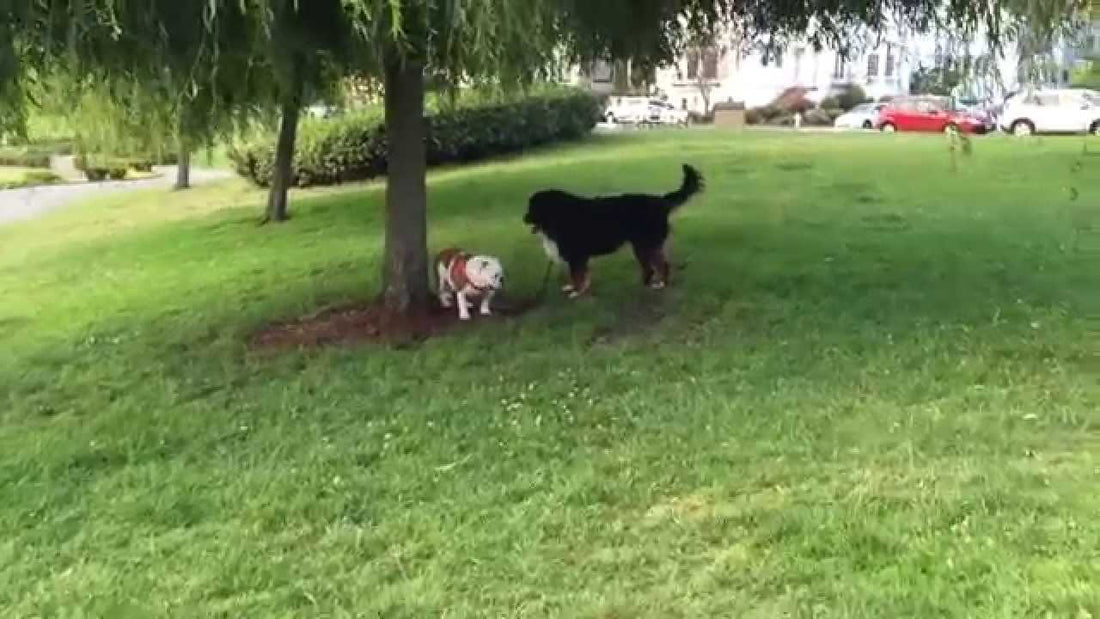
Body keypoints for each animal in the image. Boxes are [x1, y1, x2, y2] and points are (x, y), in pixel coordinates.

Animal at [525, 163, 704, 296]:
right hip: (641, 245)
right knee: (650, 267)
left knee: (661, 265)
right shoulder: (580, 256)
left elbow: (577, 275)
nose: (523, 219)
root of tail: (660, 200)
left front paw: (576, 291)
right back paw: (645, 283)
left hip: (646, 243)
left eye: (532, 207)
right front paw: (578, 288)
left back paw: (661, 284)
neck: (559, 213)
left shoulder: (576, 255)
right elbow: (582, 274)